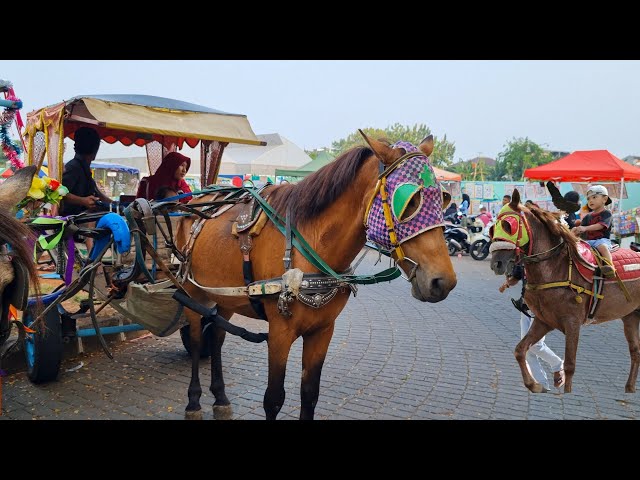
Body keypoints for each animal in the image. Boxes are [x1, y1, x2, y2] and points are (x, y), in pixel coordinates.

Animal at [175, 133, 456, 418]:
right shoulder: (279, 333)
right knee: (197, 340)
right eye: (410, 203)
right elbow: (273, 399)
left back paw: (220, 397)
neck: (310, 243)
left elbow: (309, 394)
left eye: (442, 199)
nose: (443, 281)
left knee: (216, 336)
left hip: (226, 296)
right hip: (191, 291)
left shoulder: (322, 331)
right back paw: (194, 401)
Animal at [492, 188, 640, 394]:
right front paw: (534, 384)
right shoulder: (544, 320)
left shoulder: (573, 322)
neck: (556, 268)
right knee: (635, 352)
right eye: (493, 227)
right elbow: (520, 350)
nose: (496, 263)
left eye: (509, 225)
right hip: (630, 315)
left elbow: (570, 365)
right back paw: (630, 388)